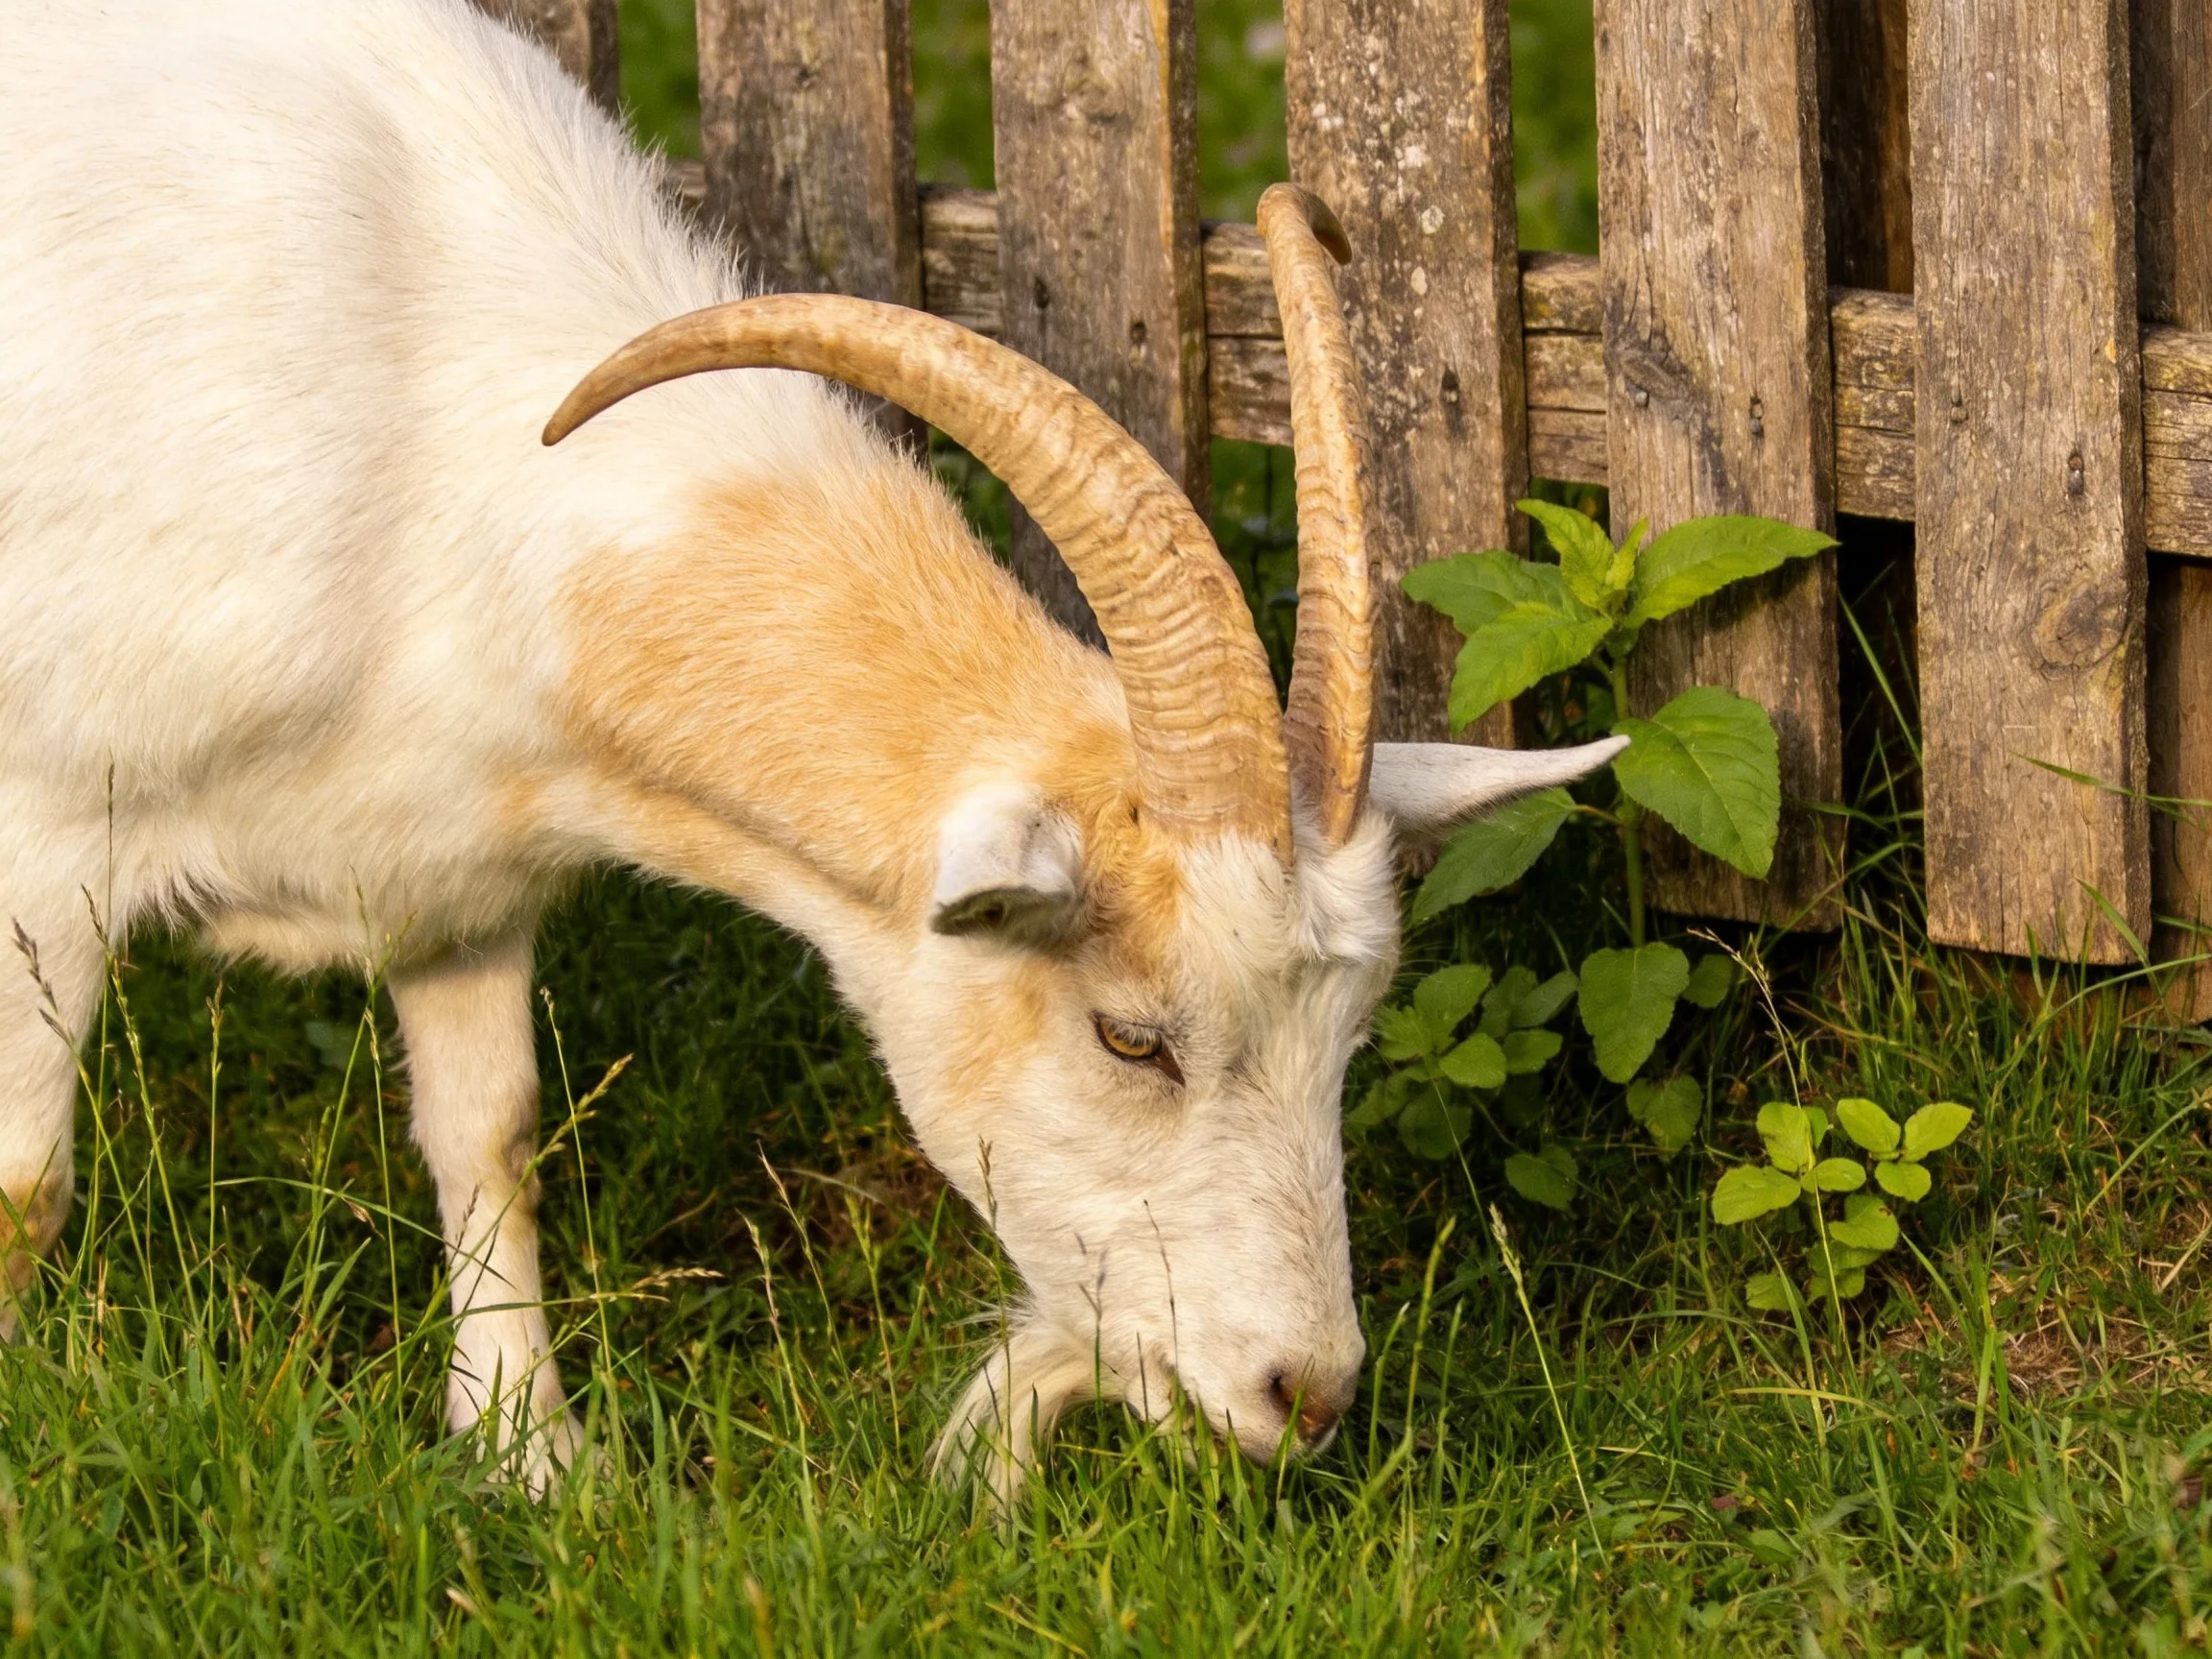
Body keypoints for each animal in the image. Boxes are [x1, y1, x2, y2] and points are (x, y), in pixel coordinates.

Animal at [0, 0, 1622, 1498]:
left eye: (1350, 1035)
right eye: (1129, 1037)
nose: (1309, 1396)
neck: (416, 419)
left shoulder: (454, 882)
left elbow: (492, 1141)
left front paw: (536, 1461)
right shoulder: (44, 845)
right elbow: (27, 1195)